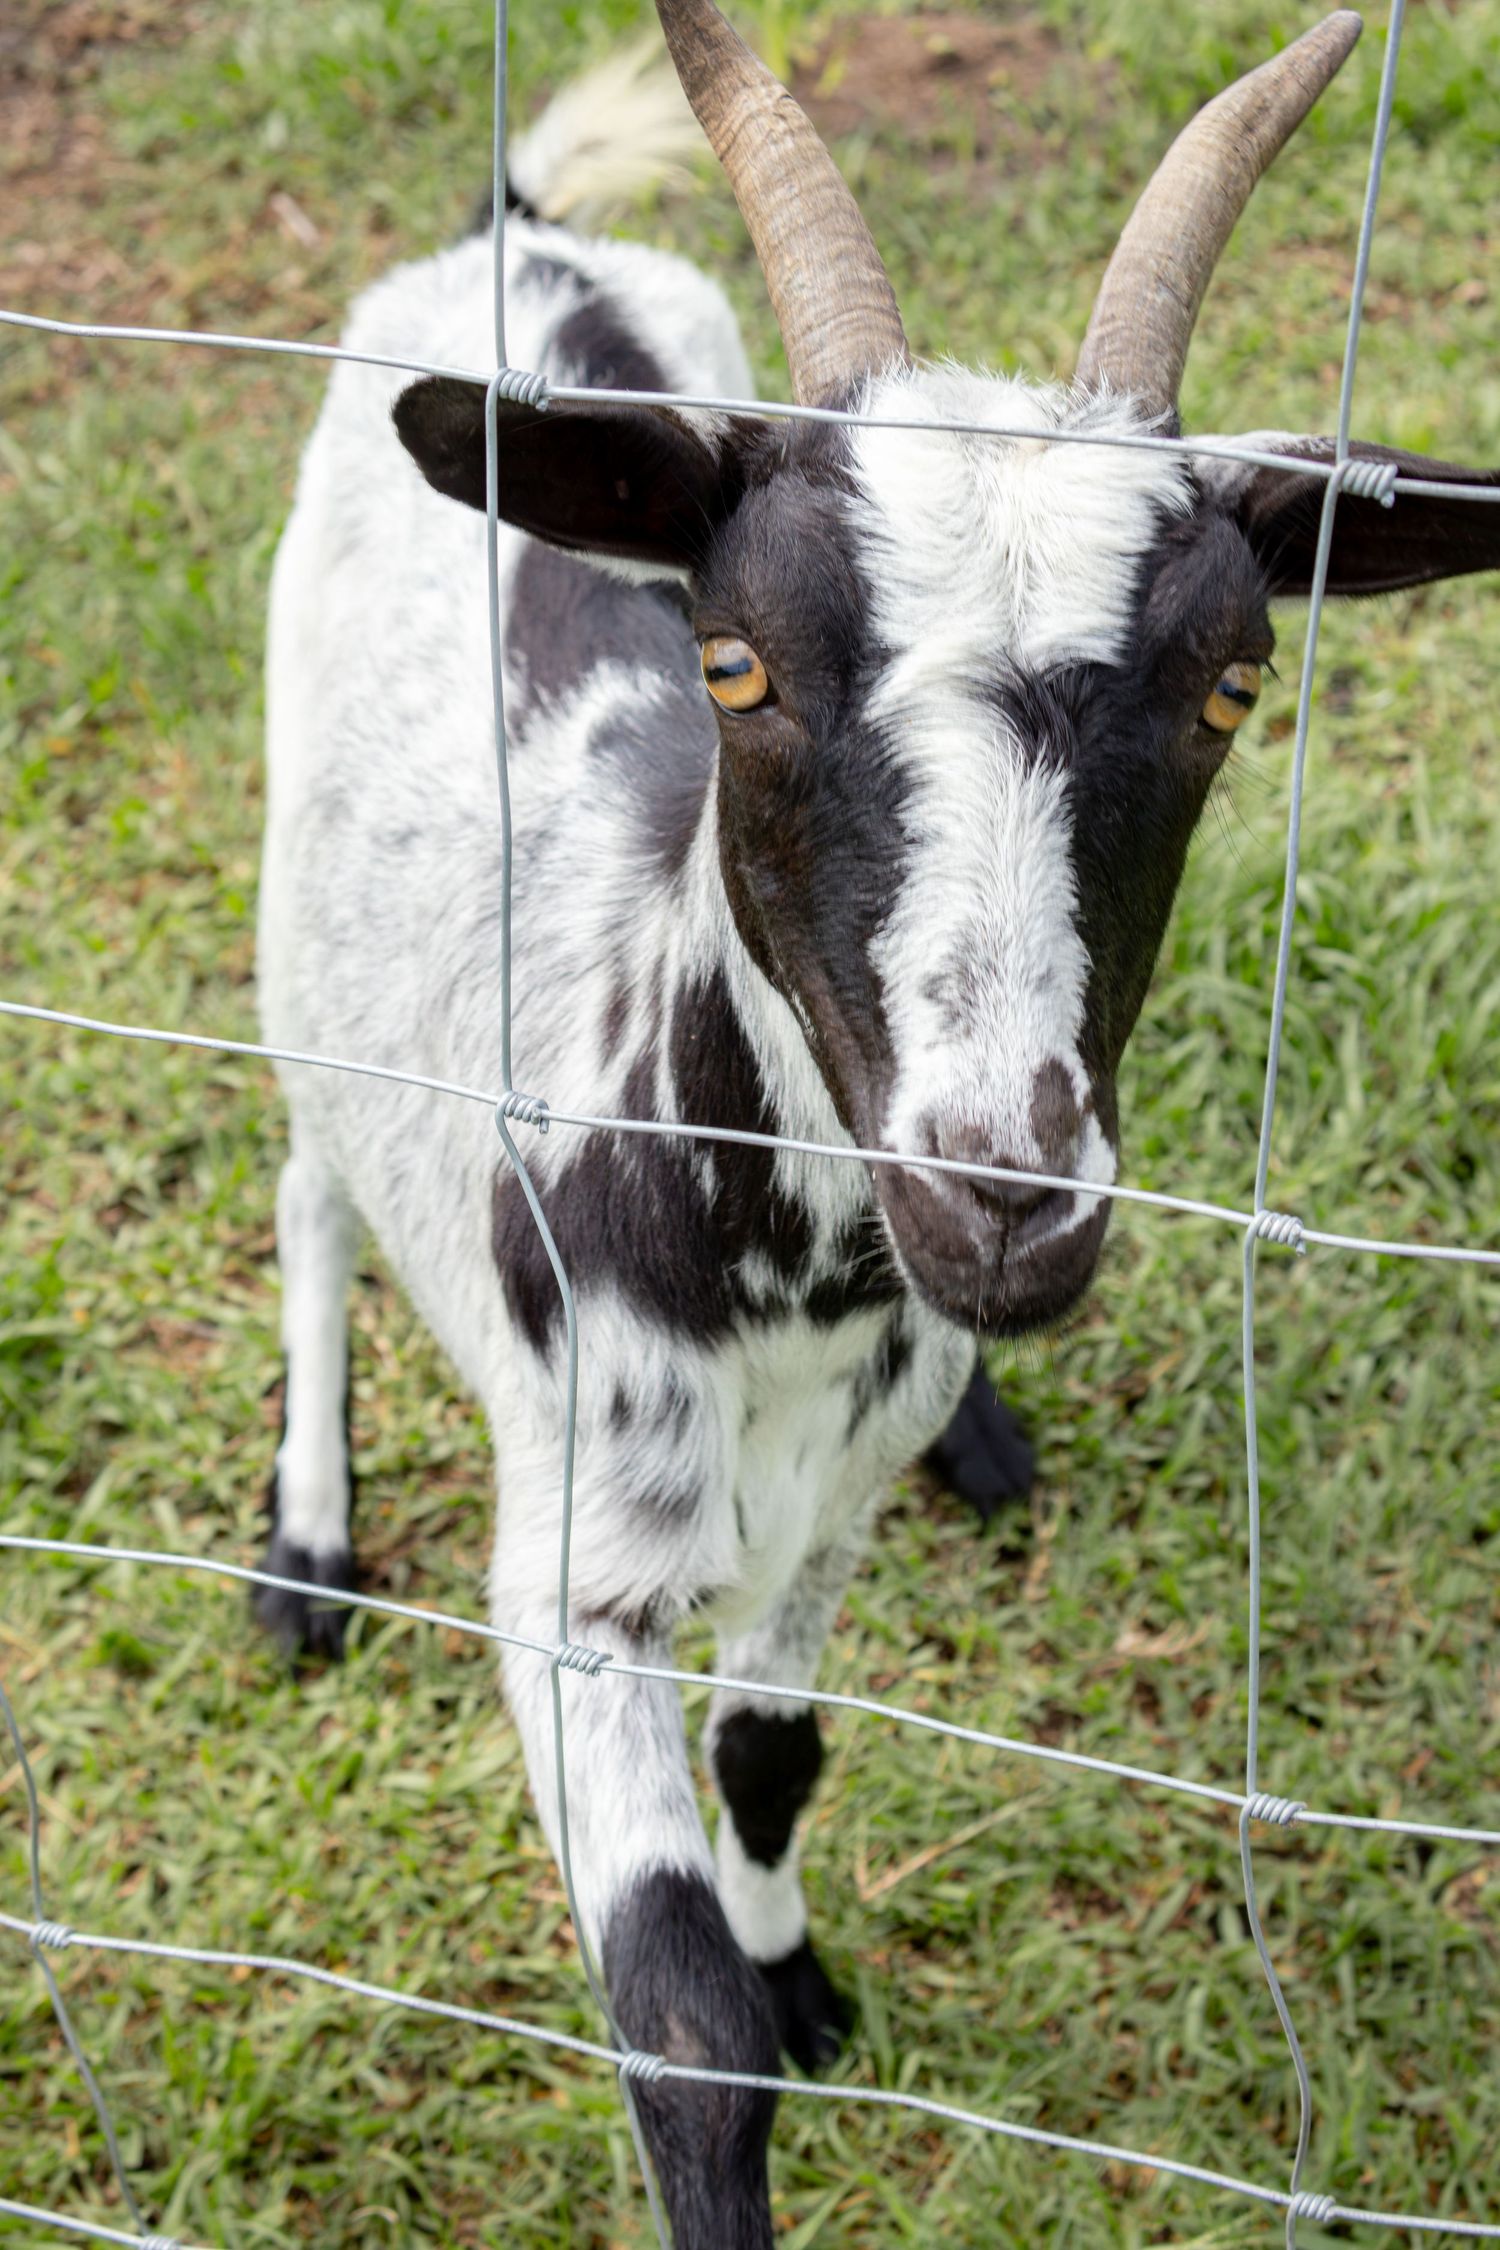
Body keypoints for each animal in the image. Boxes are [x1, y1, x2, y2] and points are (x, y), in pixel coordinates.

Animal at [256, 4, 1500, 2242]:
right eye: (736, 661)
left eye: (1234, 685)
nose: (1000, 1198)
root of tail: (521, 244)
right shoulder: (575, 1589)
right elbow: (680, 2042)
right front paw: (737, 2002)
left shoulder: (824, 1505)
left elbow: (779, 1756)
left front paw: (797, 1957)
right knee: (311, 1179)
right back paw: (306, 1539)